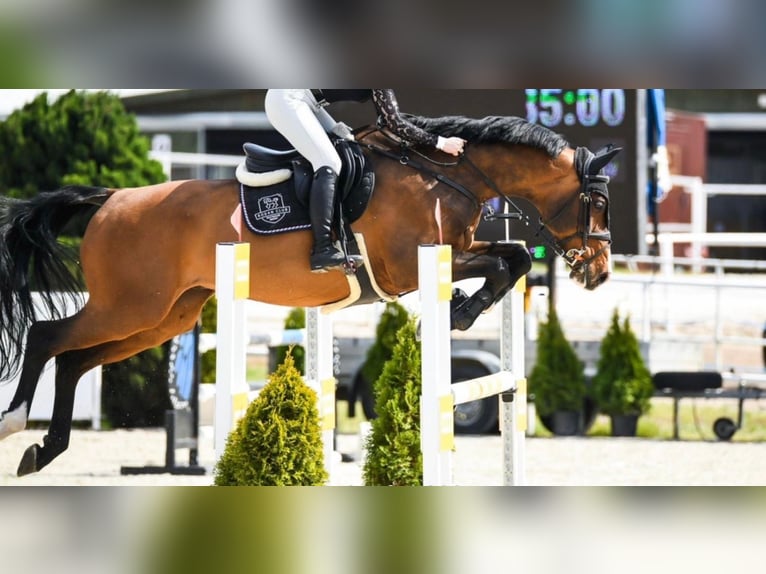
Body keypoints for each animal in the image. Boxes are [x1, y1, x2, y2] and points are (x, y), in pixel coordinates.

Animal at [0, 114, 619, 476]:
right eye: (597, 203)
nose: (599, 273)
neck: (445, 179)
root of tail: (111, 199)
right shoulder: (409, 266)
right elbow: (507, 260)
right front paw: (460, 312)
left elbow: (514, 260)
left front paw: (462, 311)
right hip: (128, 306)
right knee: (47, 337)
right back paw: (16, 421)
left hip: (161, 318)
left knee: (75, 361)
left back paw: (44, 449)